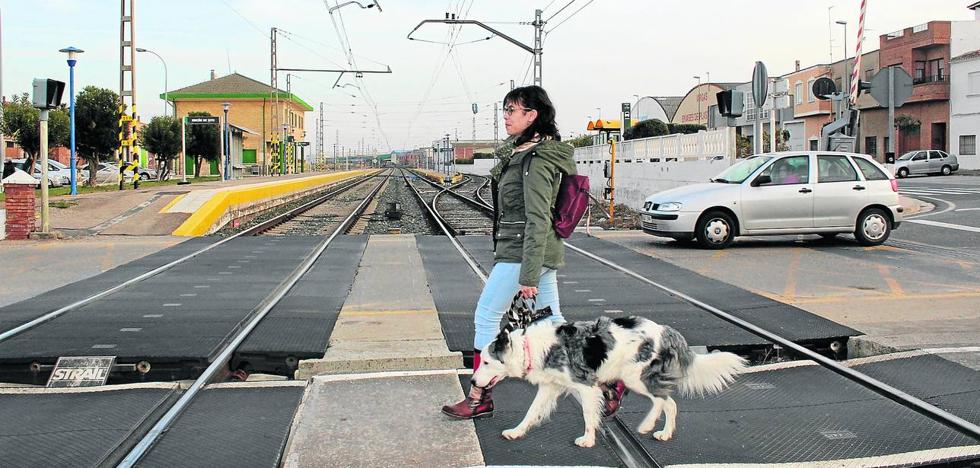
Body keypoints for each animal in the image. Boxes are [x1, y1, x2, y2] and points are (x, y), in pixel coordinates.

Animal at [472, 316, 744, 448]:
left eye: (485, 362)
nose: (473, 380)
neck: (530, 348)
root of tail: (666, 330)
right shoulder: (551, 386)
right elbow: (531, 412)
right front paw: (516, 432)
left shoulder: (586, 386)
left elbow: (588, 415)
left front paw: (588, 440)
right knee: (669, 403)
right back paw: (664, 433)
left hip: (636, 377)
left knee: (662, 401)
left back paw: (647, 426)